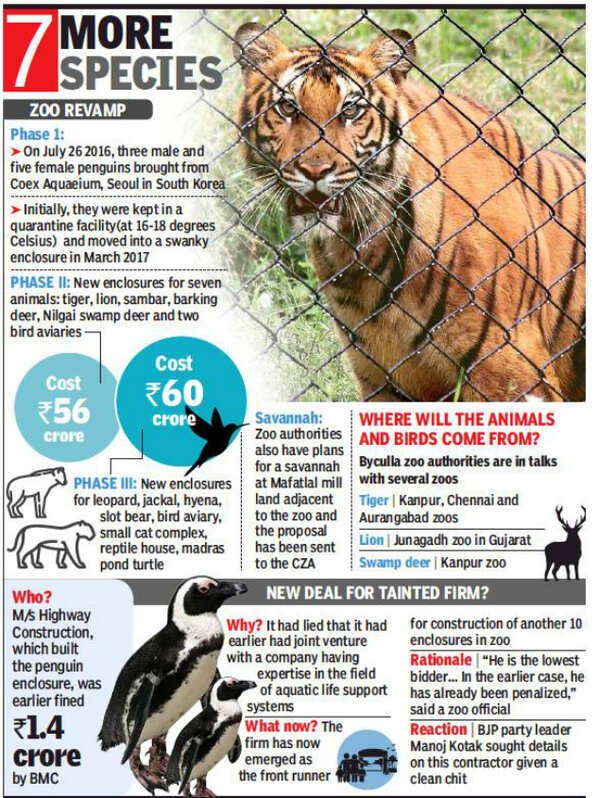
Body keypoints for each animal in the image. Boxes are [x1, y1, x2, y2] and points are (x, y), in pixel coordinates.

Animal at [233, 23, 585, 401]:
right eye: (287, 107)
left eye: (351, 111)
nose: (315, 170)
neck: (361, 250)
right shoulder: (381, 378)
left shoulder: (508, 370)